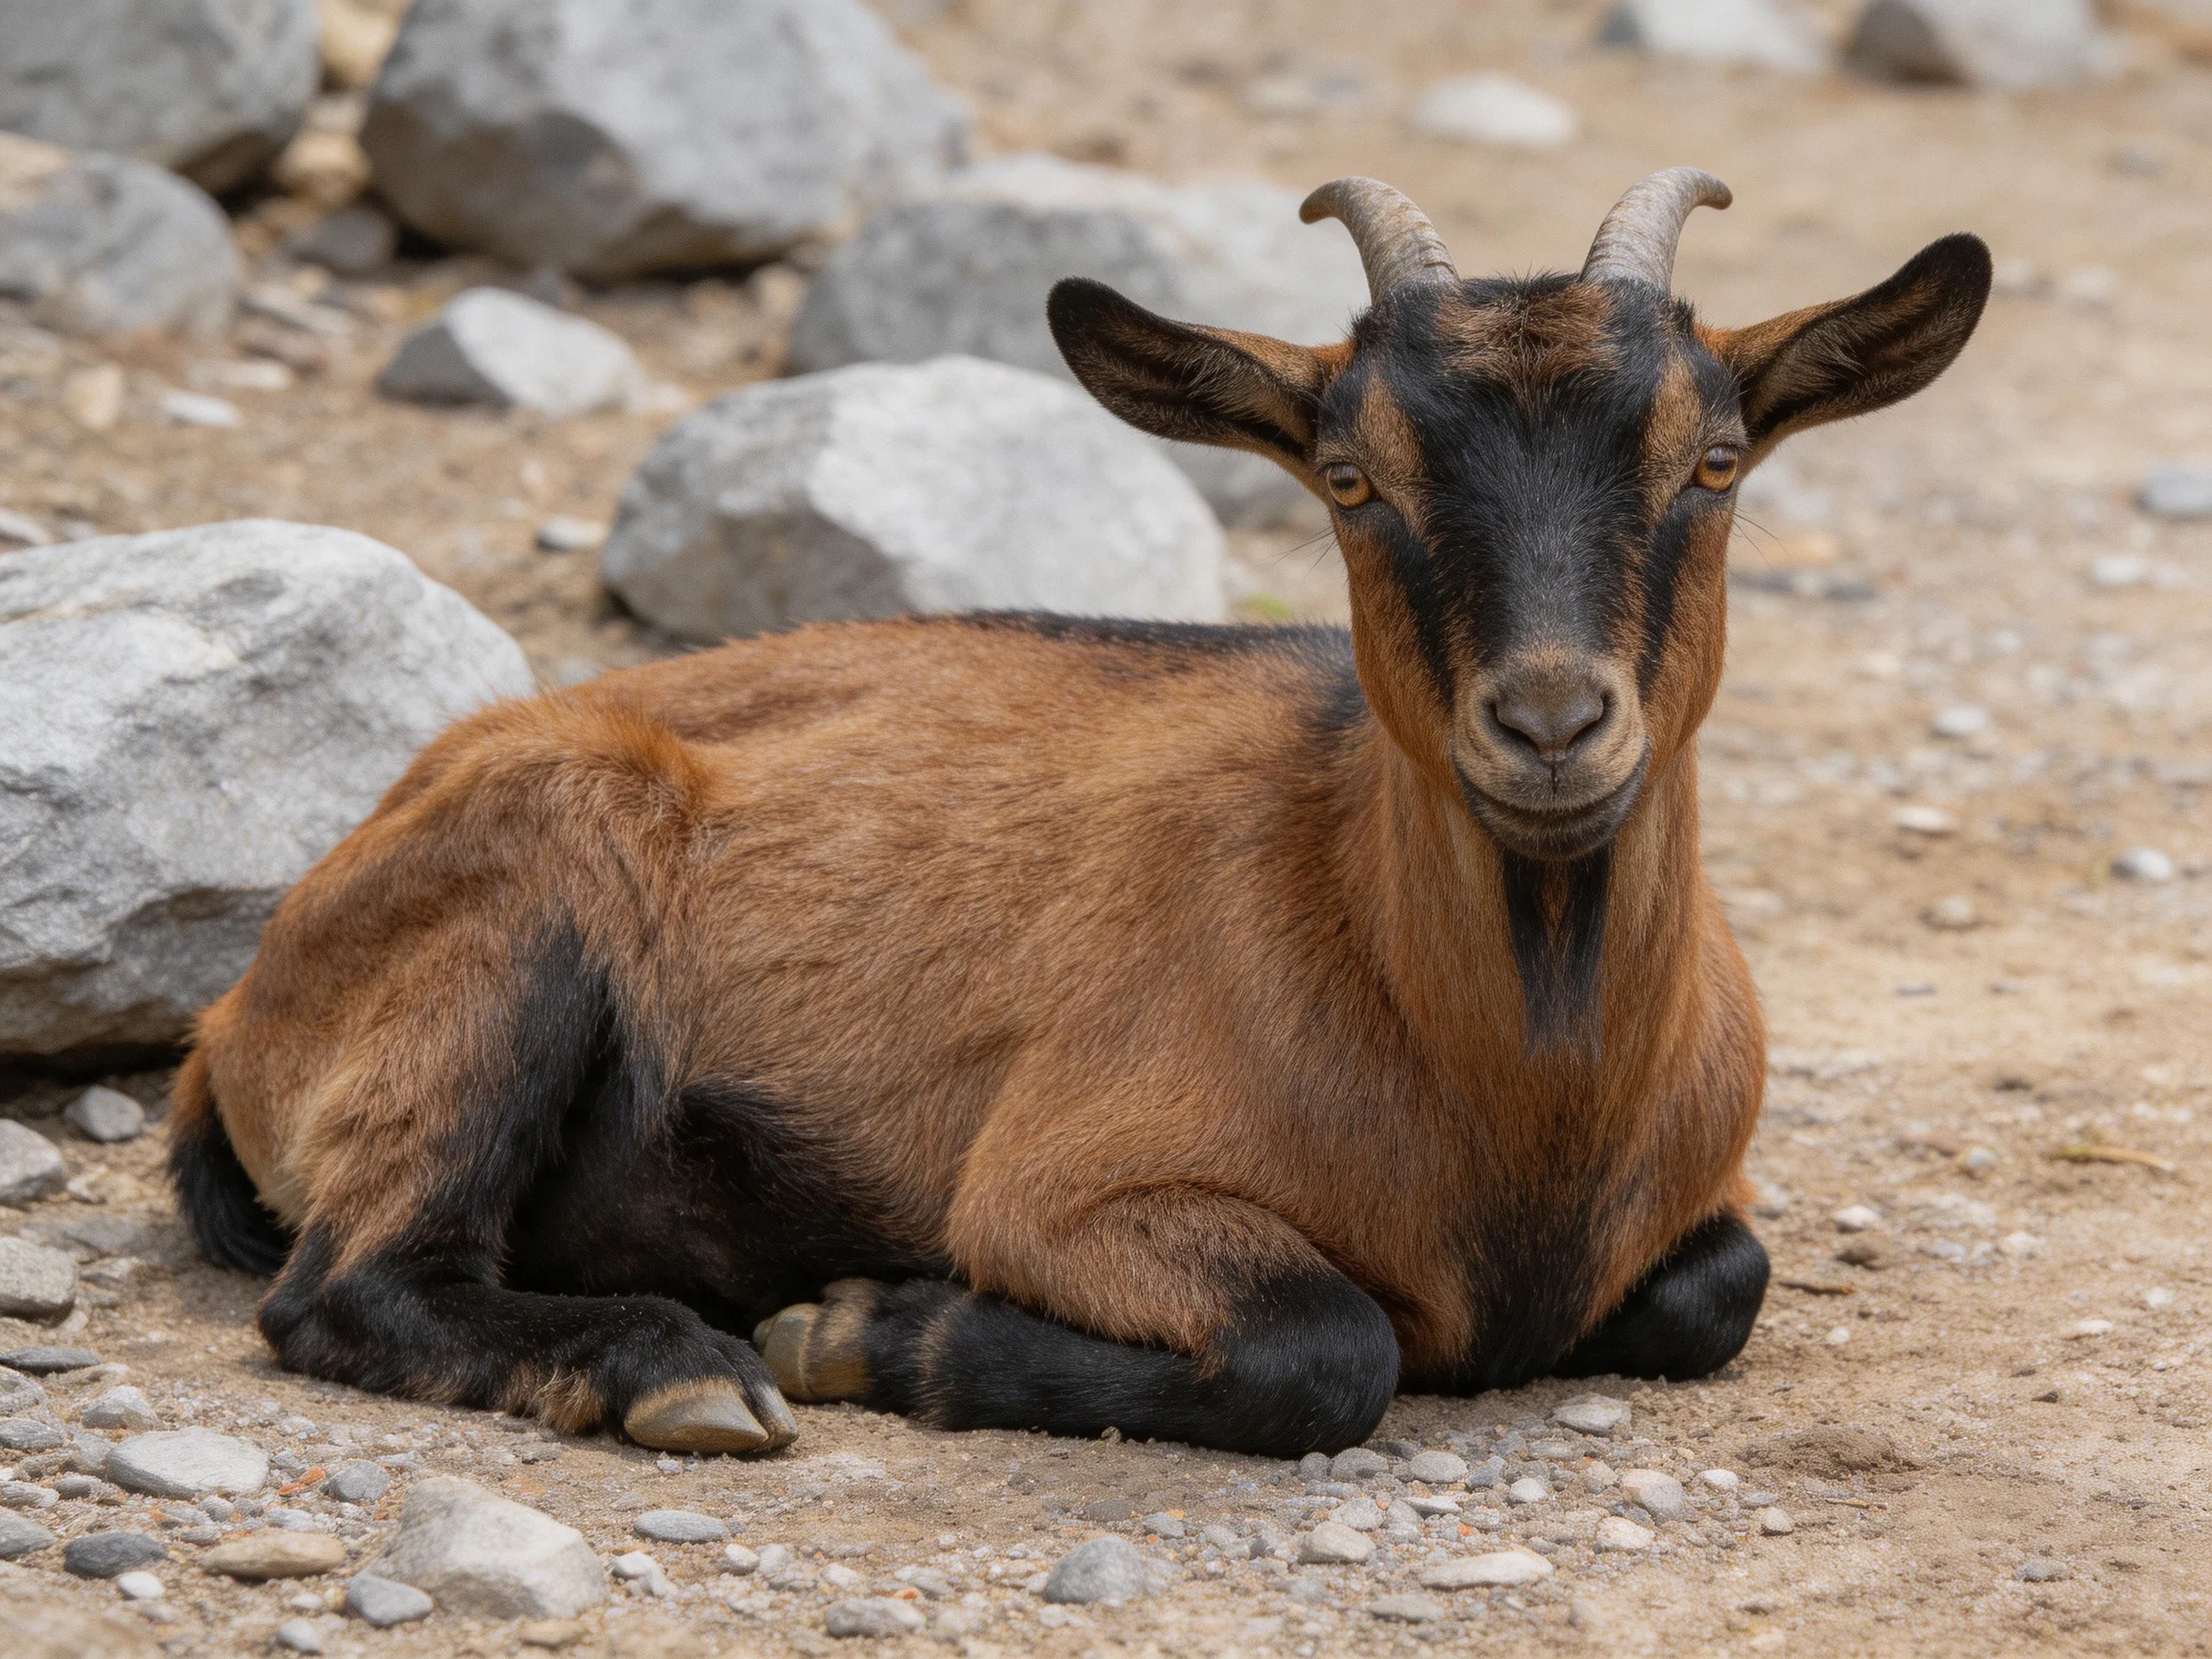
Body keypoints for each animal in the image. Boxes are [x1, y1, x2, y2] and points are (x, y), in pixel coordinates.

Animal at [170, 171, 1990, 1458]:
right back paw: (678, 1368)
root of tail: (238, 1012)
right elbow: (1328, 1347)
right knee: (349, 1287)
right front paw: (859, 1330)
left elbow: (1721, 1288)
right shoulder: (1060, 1191)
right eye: (1352, 479)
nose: (1548, 723)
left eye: (1715, 462)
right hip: (515, 917)